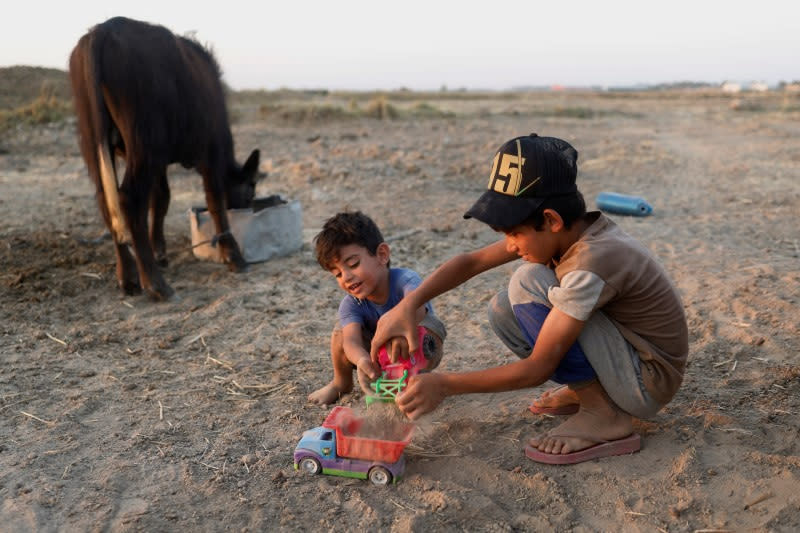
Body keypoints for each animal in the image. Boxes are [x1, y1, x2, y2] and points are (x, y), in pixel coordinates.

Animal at [69, 16, 260, 300]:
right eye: (251, 189)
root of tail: (104, 29)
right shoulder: (211, 152)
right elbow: (215, 201)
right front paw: (233, 255)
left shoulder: (160, 163)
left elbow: (161, 199)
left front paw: (159, 250)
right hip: (144, 143)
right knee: (129, 198)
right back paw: (156, 284)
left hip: (95, 141)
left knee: (107, 199)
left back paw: (128, 277)